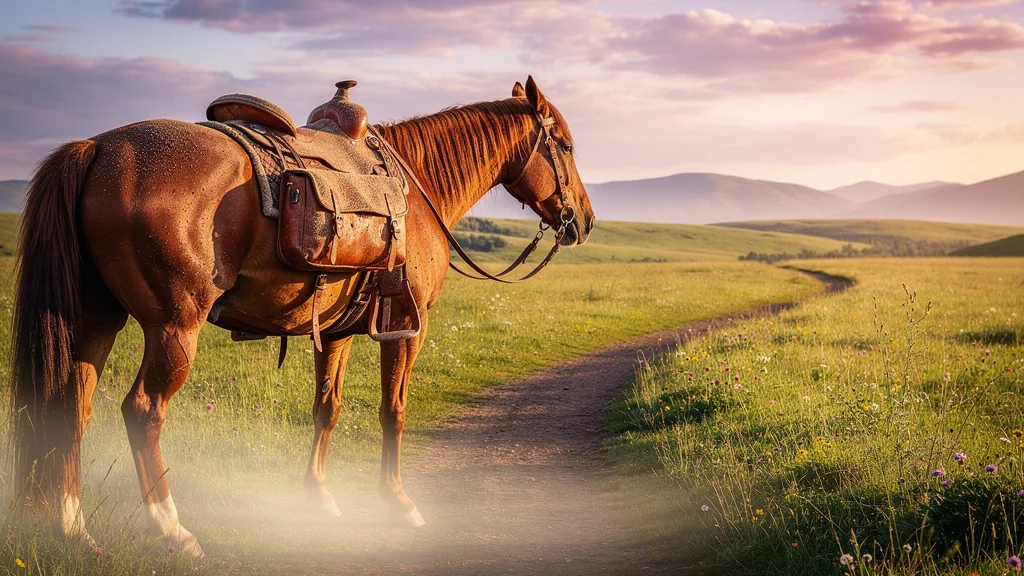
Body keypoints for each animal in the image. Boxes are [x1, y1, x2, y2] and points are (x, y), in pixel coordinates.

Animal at [9, 76, 595, 556]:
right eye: (564, 145)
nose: (584, 219)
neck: (418, 185)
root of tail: (101, 147)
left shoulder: (335, 332)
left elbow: (327, 409)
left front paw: (318, 497)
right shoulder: (407, 329)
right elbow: (394, 412)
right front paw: (398, 502)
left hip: (94, 320)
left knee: (72, 407)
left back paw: (73, 528)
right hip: (173, 329)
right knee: (143, 411)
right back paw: (172, 529)